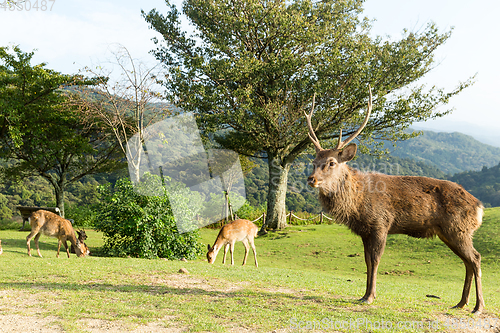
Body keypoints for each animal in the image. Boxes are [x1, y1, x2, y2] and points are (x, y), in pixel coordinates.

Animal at [304, 86, 484, 314]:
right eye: (313, 161)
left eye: (331, 162)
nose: (312, 179)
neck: (357, 203)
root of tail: (479, 207)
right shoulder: (365, 231)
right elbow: (366, 261)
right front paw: (363, 295)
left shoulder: (381, 223)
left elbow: (375, 260)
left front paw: (370, 297)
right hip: (450, 232)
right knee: (467, 261)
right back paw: (461, 303)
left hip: (458, 228)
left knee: (475, 258)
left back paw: (478, 306)